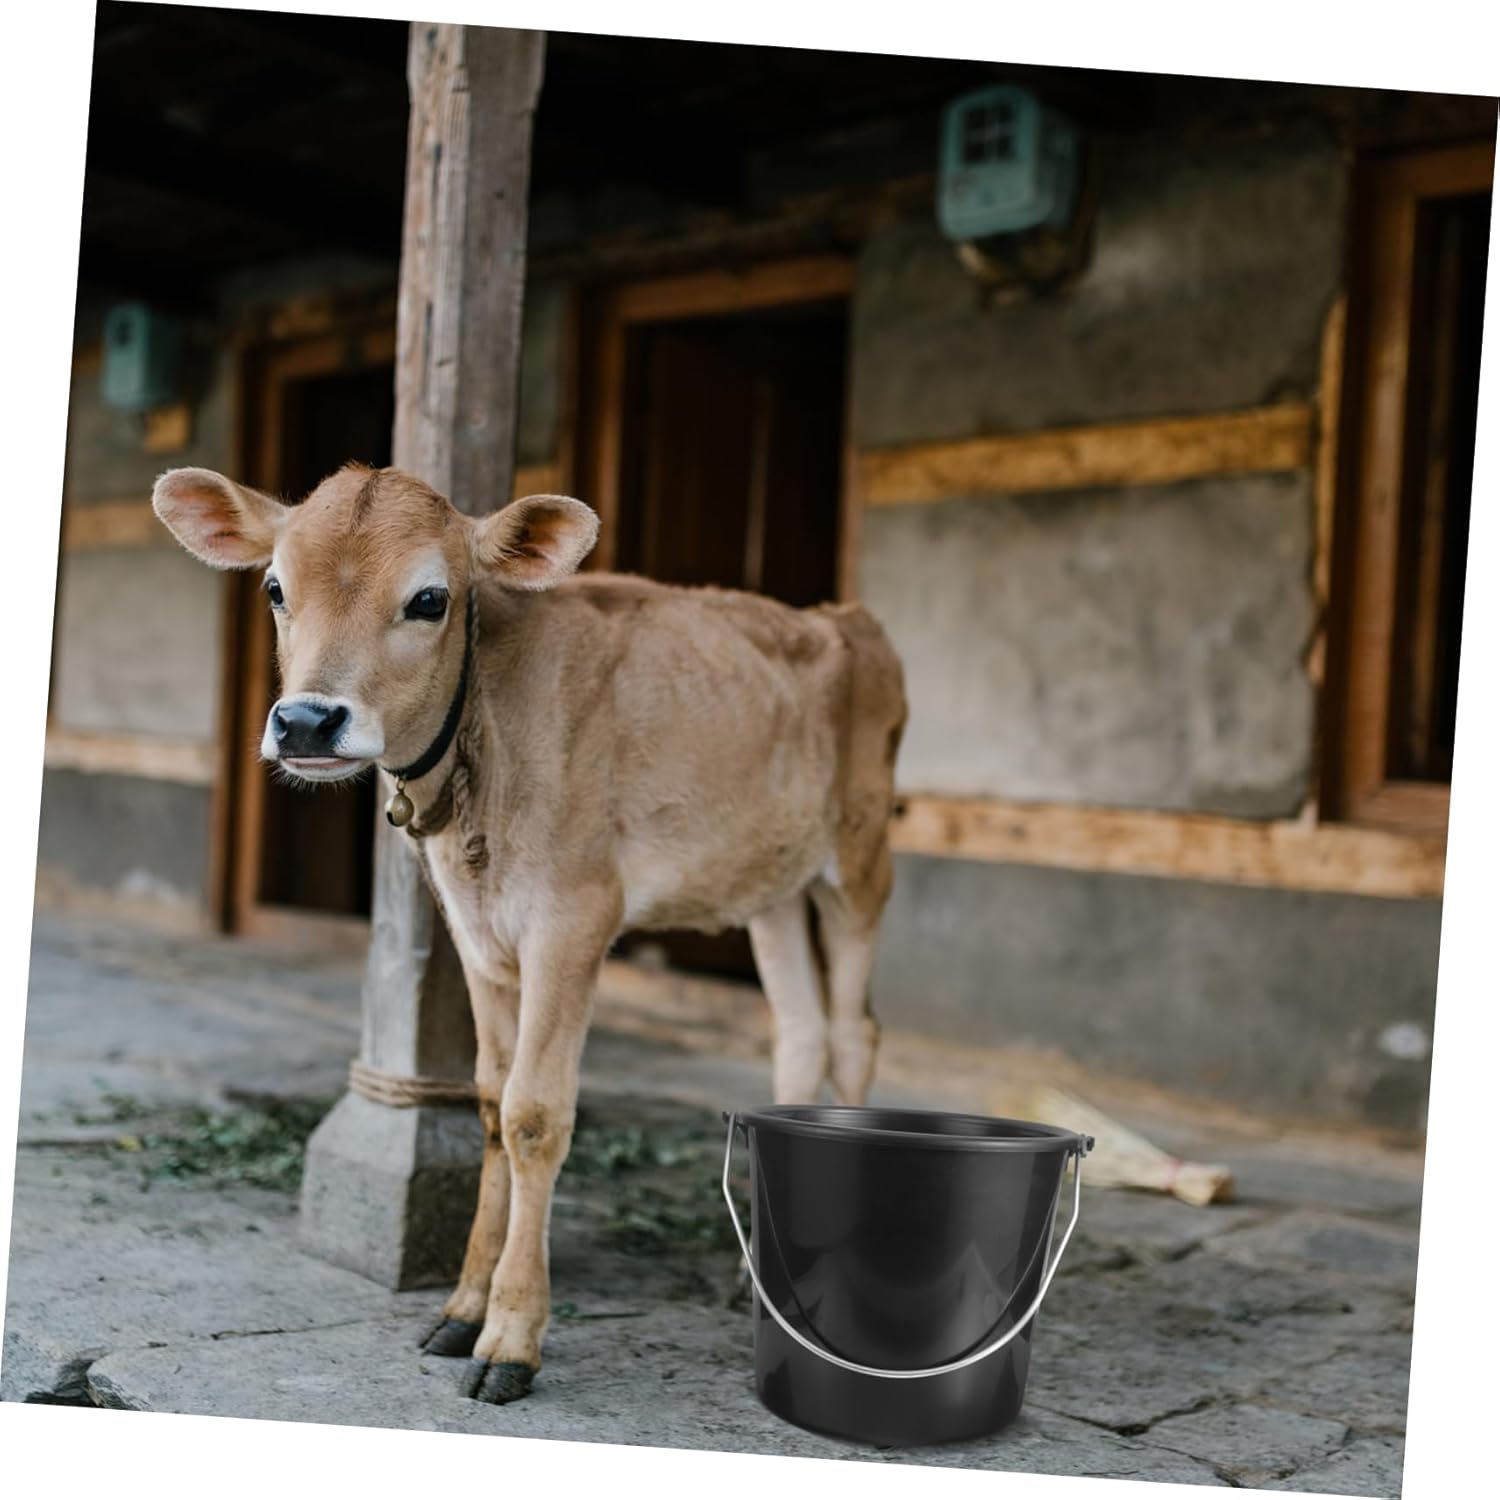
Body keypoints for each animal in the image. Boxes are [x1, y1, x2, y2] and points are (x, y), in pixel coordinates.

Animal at [152, 461, 907, 1404]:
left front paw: (511, 1337)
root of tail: (839, 616)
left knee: (855, 1032)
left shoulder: (574, 918)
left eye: (430, 599)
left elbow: (534, 1115)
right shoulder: (477, 932)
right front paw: (462, 1307)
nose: (306, 723)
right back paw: (759, 1274)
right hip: (769, 883)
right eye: (276, 589)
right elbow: (487, 1103)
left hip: (859, 863)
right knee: (801, 1031)